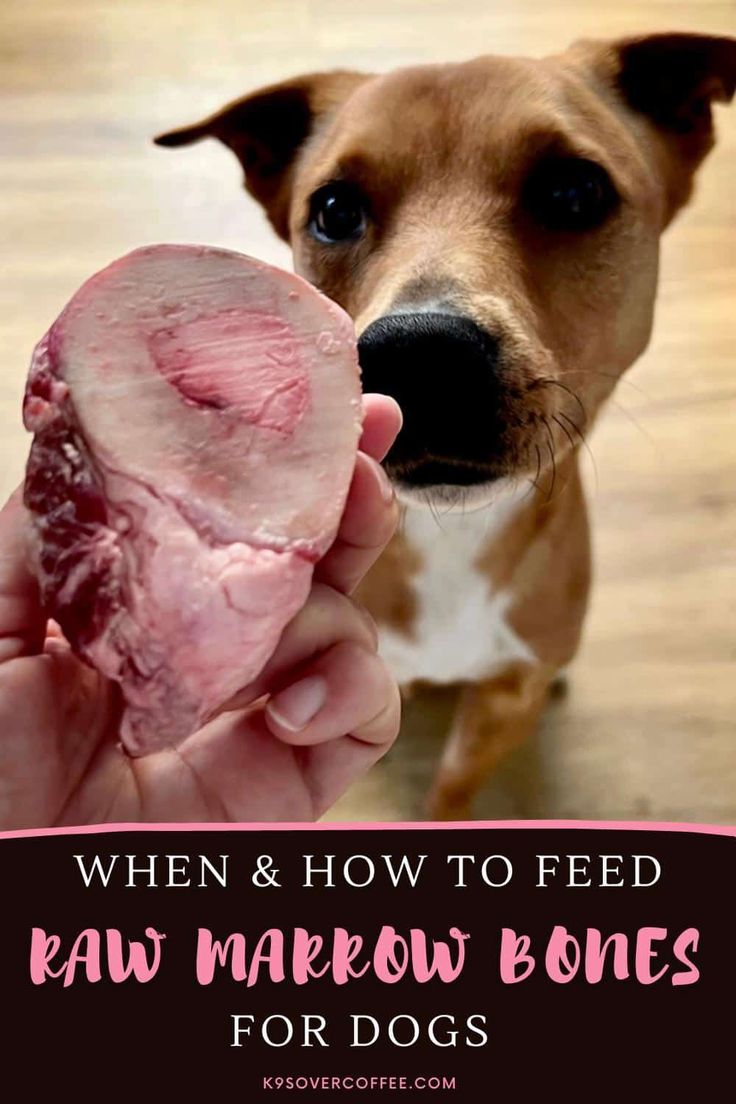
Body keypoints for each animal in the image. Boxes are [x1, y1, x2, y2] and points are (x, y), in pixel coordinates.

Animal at [156, 34, 736, 816]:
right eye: (334, 209)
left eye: (574, 191)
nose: (419, 351)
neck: (455, 538)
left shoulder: (505, 699)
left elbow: (455, 782)